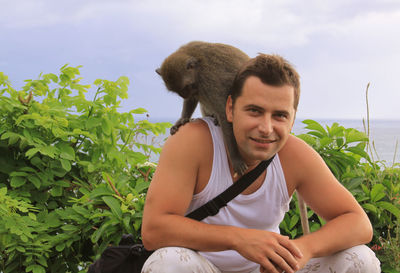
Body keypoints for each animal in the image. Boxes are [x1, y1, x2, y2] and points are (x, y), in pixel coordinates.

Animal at [156, 41, 250, 175]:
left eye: (186, 87)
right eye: (178, 91)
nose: (184, 95)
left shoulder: (209, 82)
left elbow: (224, 113)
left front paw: (235, 159)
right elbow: (192, 99)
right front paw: (182, 119)